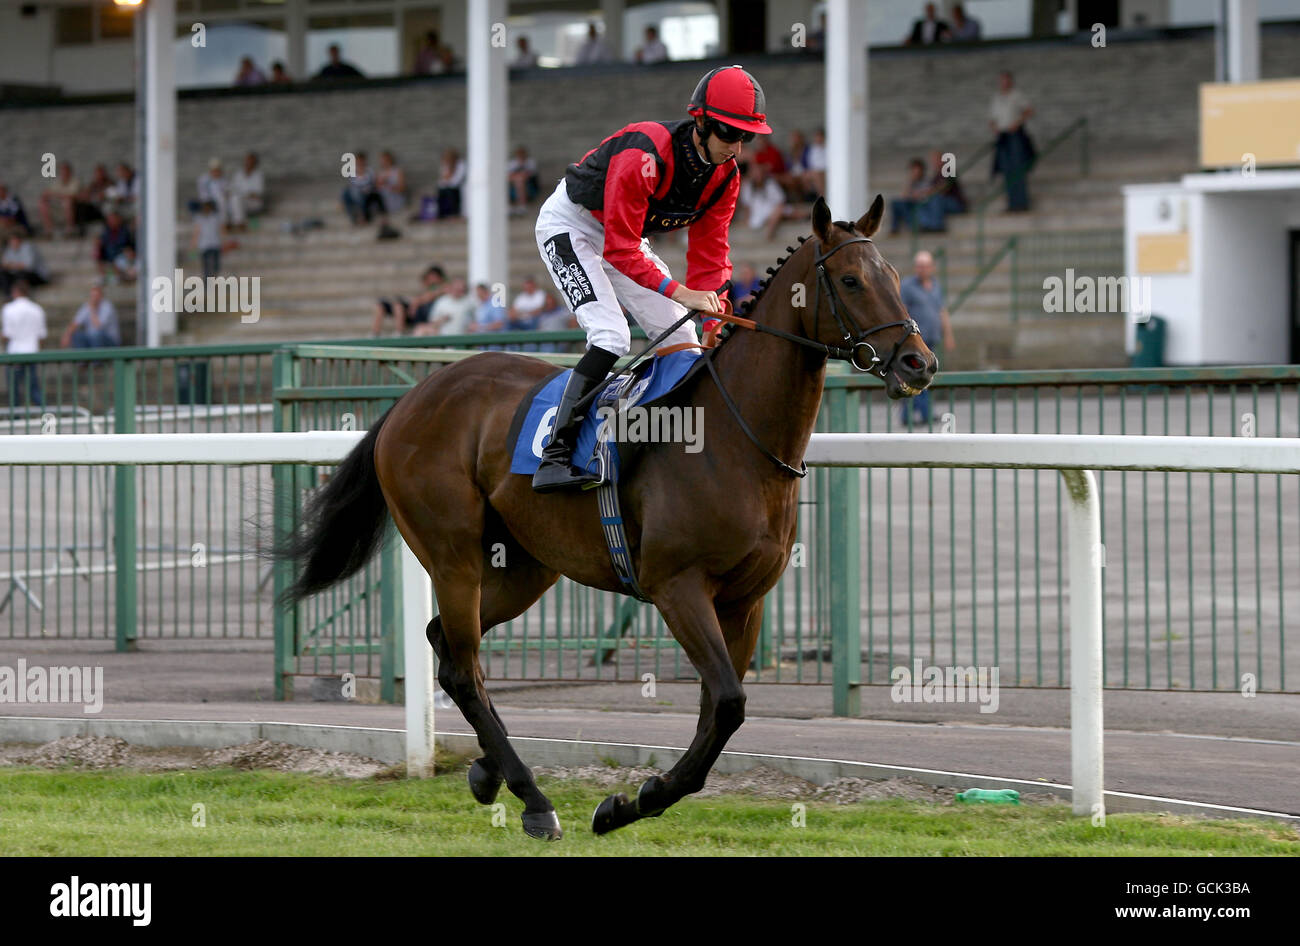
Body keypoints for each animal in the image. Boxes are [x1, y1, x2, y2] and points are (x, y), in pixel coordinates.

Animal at [276, 192, 935, 836]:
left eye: (895, 276)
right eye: (850, 280)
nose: (918, 363)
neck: (735, 437)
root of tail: (411, 400)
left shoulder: (744, 602)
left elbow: (717, 709)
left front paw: (631, 802)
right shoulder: (677, 586)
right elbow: (727, 703)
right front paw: (630, 802)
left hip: (524, 565)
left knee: (450, 645)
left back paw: (490, 770)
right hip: (453, 553)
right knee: (461, 664)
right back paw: (533, 798)